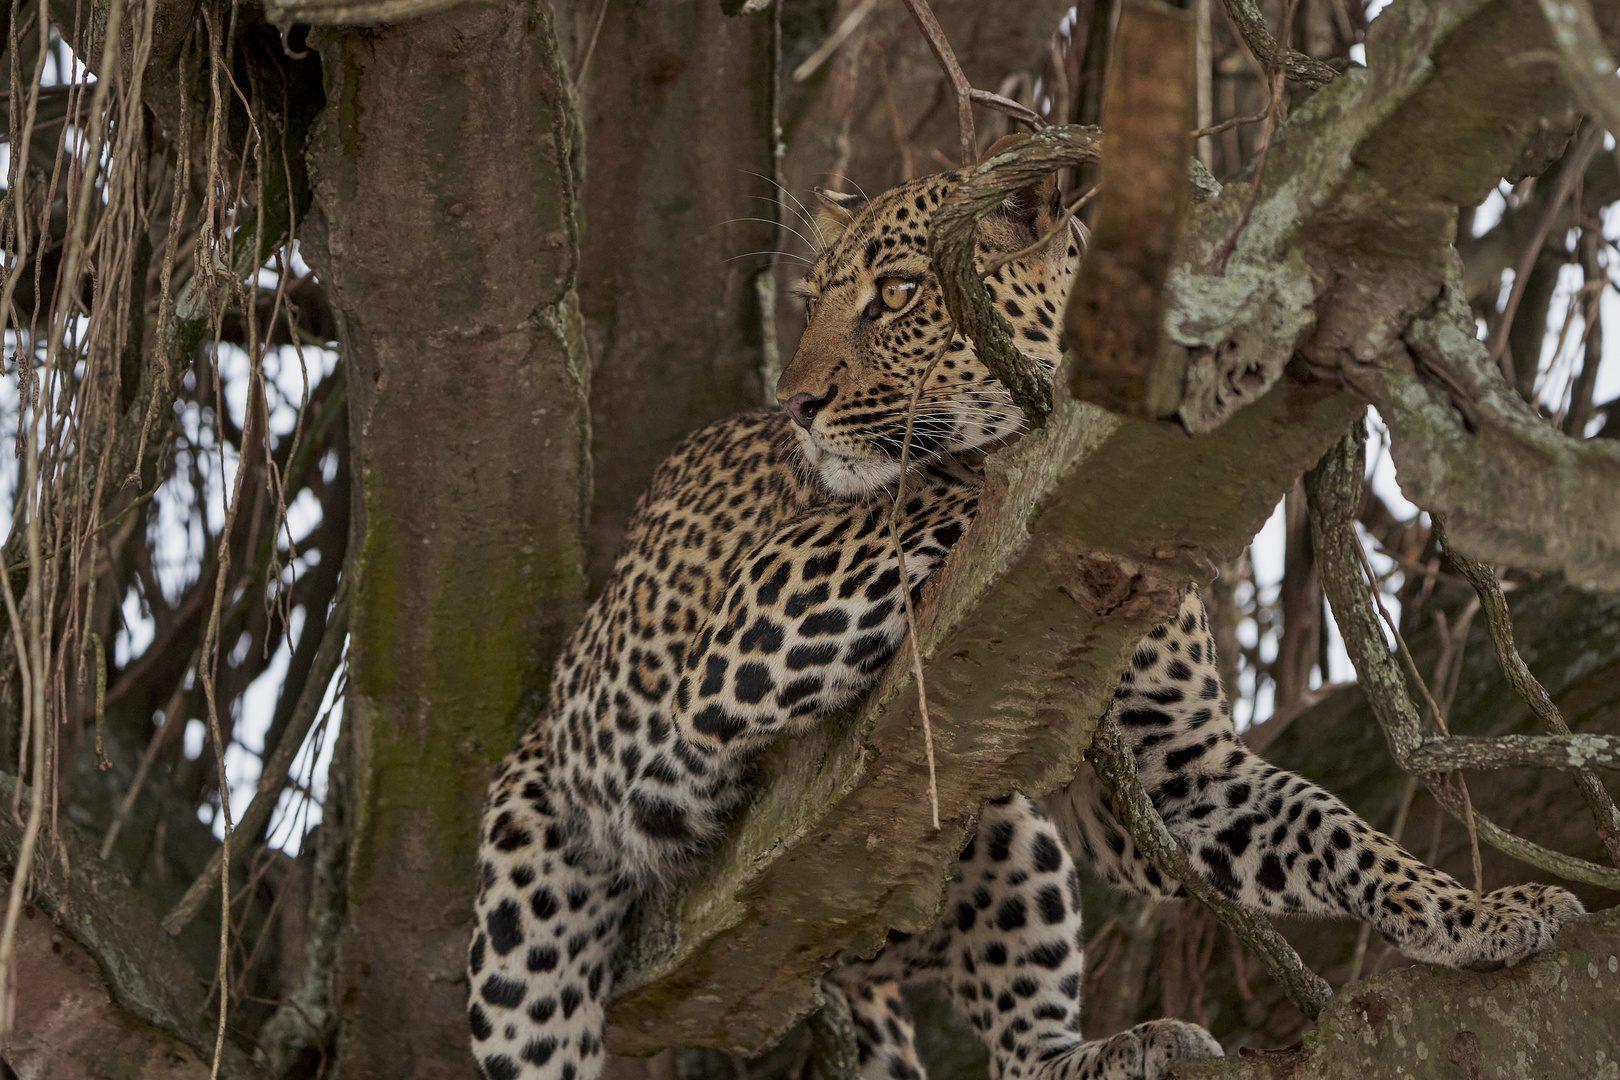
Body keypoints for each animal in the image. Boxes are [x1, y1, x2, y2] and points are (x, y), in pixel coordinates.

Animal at [466, 160, 1581, 1080]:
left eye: (899, 293)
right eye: (815, 301)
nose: (794, 405)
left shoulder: (1178, 768)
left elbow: (1328, 825)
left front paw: (1470, 913)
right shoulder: (752, 619)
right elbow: (935, 495)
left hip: (1010, 843)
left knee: (1013, 1047)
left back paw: (1117, 1051)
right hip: (529, 898)